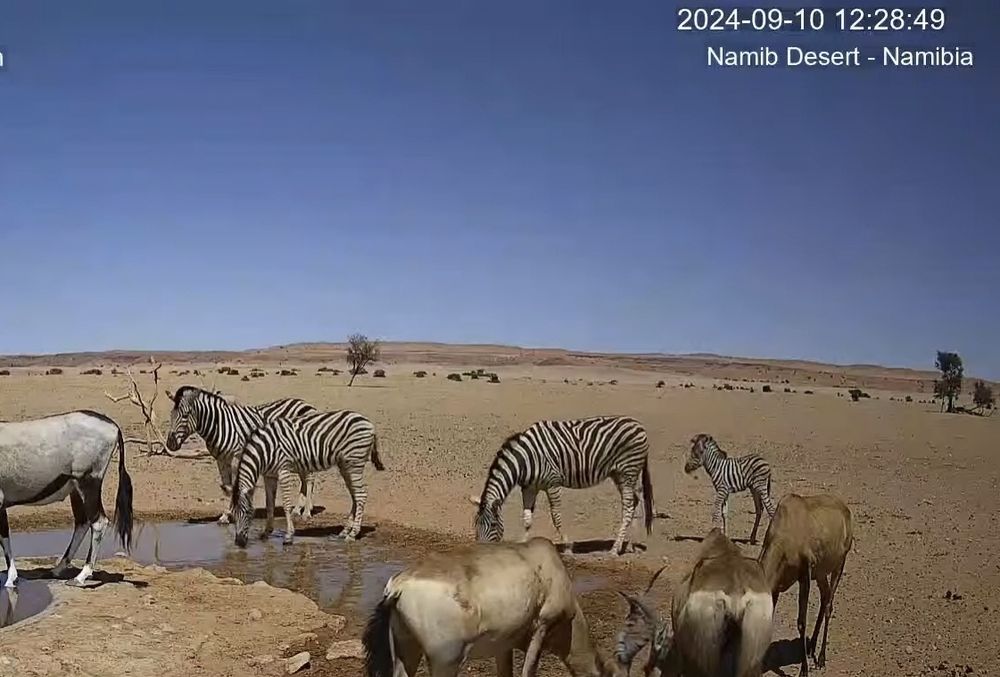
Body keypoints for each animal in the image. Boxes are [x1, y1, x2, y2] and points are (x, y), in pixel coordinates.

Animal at [0, 410, 133, 587]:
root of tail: (113, 426)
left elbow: (4, 537)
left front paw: (10, 580)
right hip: (75, 490)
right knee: (82, 523)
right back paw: (56, 570)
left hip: (88, 483)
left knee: (98, 522)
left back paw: (80, 577)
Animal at [165, 386, 318, 523]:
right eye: (171, 414)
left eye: (185, 416)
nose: (170, 444)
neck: (220, 425)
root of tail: (306, 404)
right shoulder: (221, 459)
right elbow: (226, 487)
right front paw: (225, 516)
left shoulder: (236, 457)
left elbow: (234, 486)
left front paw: (234, 513)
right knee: (305, 479)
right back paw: (297, 510)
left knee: (310, 478)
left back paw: (306, 512)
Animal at [230, 409, 385, 547]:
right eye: (233, 515)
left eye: (247, 513)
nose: (239, 542)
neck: (265, 449)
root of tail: (369, 422)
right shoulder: (269, 475)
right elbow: (269, 504)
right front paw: (266, 532)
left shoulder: (284, 471)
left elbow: (286, 505)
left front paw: (288, 536)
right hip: (345, 465)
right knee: (355, 496)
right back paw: (344, 532)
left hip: (354, 463)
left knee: (361, 495)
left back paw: (353, 534)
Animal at [467, 415, 655, 556]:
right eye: (475, 525)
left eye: (493, 525)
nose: (481, 551)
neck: (525, 460)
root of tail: (638, 425)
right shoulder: (529, 487)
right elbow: (527, 519)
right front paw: (523, 545)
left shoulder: (552, 483)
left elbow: (556, 517)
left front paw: (567, 547)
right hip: (621, 474)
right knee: (636, 502)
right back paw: (631, 545)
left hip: (627, 471)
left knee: (628, 507)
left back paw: (615, 549)